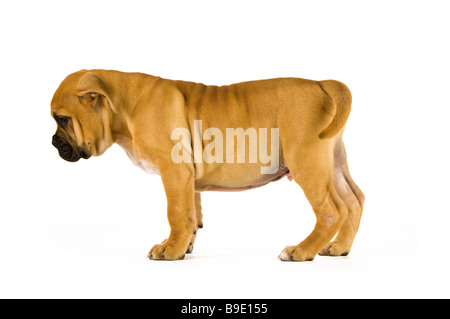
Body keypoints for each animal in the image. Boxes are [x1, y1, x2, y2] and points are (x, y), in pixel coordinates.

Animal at [51, 70, 364, 262]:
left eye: (62, 119)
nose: (53, 143)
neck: (125, 106)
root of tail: (321, 83)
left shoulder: (174, 171)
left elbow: (177, 213)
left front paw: (171, 250)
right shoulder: (188, 179)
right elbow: (192, 215)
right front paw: (181, 245)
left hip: (307, 163)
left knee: (331, 211)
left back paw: (301, 250)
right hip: (332, 162)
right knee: (354, 200)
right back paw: (339, 247)